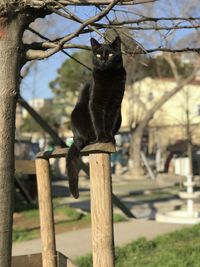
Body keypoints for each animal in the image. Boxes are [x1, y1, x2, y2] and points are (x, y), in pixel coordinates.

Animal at [66, 36, 126, 199]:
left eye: (110, 54)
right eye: (98, 55)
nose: (104, 60)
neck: (109, 77)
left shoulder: (116, 104)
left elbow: (110, 122)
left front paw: (109, 138)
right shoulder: (95, 103)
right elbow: (98, 121)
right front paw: (101, 138)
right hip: (76, 115)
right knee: (83, 139)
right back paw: (92, 139)